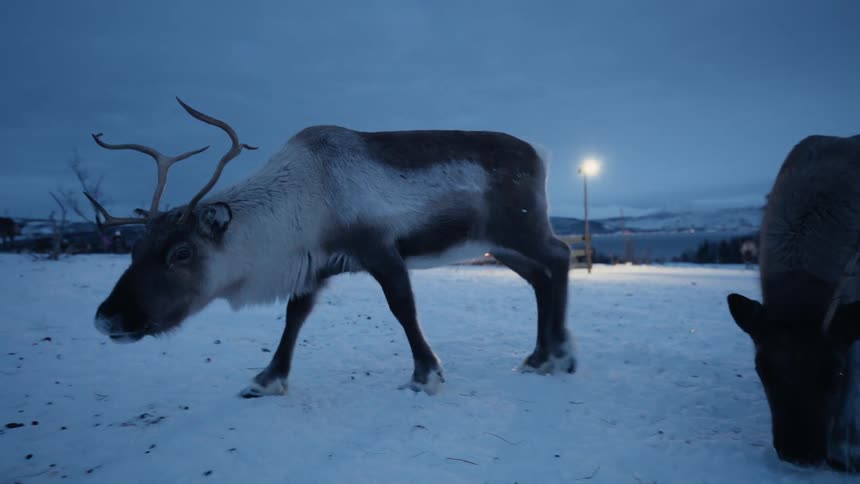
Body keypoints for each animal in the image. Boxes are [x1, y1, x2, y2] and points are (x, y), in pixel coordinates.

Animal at [87, 98, 576, 398]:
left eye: (181, 252)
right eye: (134, 250)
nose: (106, 318)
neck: (303, 199)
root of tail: (540, 153)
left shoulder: (379, 248)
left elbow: (403, 308)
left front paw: (426, 376)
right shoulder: (315, 266)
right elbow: (294, 316)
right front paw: (266, 380)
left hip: (519, 230)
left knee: (560, 256)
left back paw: (560, 356)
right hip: (499, 247)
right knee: (541, 277)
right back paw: (537, 357)